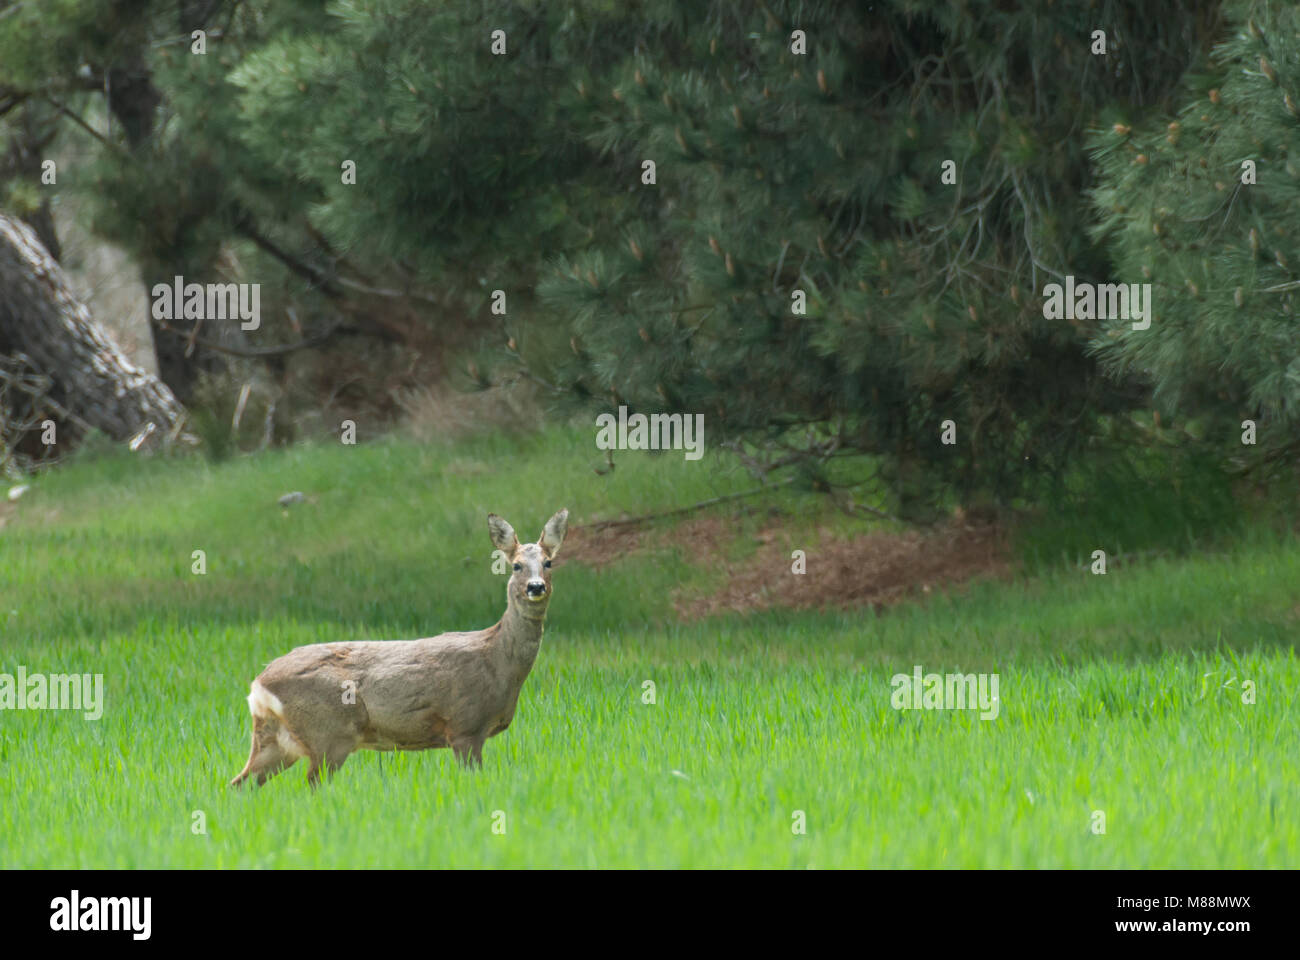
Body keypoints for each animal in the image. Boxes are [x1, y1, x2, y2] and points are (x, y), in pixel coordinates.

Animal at [230, 509, 568, 788]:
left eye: (548, 562)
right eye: (516, 566)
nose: (536, 587)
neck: (498, 661)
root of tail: (259, 685)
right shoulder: (465, 725)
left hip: (276, 739)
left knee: (239, 784)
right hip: (329, 733)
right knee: (311, 784)